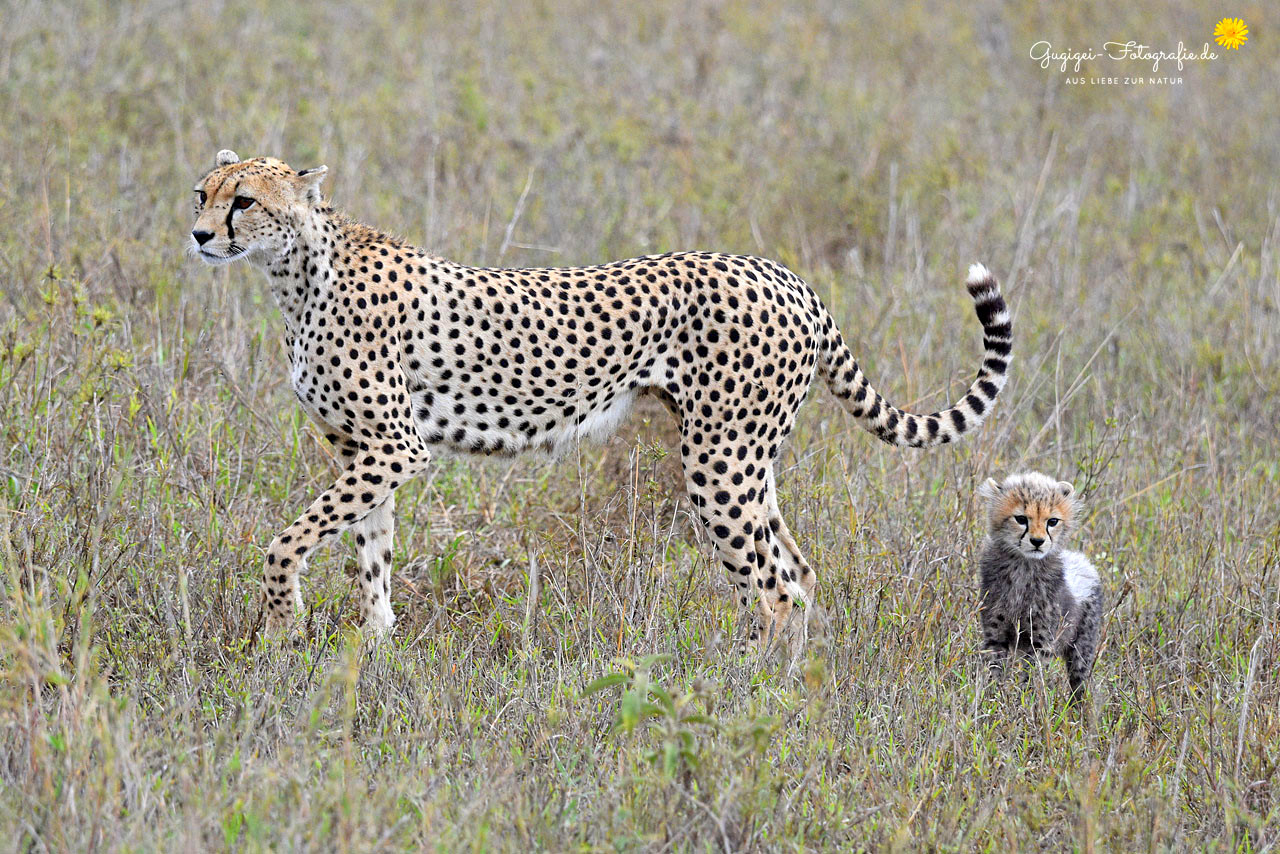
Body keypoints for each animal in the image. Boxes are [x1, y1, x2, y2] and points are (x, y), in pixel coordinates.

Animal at [189, 150, 1008, 650]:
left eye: (245, 202)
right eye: (202, 195)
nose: (197, 235)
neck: (297, 272)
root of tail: (784, 274)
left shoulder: (396, 447)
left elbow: (287, 539)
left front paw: (283, 624)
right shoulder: (362, 451)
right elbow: (371, 551)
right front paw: (374, 645)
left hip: (719, 463)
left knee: (774, 589)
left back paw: (740, 692)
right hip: (748, 459)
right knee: (797, 575)